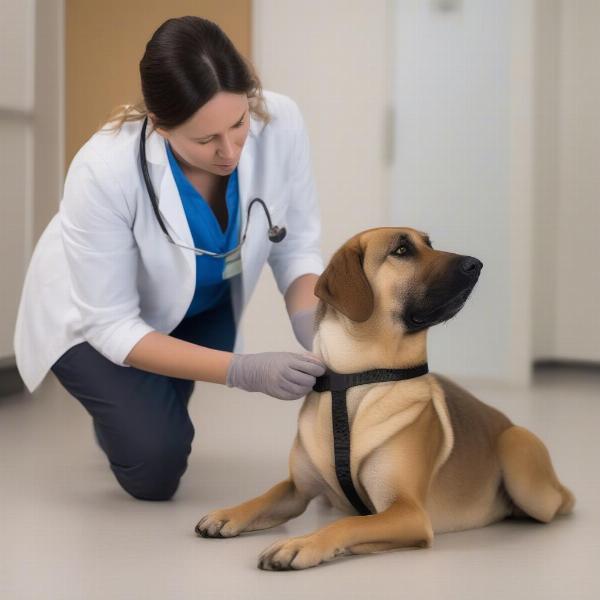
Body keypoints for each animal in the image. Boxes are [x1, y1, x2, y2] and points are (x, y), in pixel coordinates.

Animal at [195, 227, 576, 568]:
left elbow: (349, 524)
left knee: (559, 500)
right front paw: (228, 513)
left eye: (429, 243)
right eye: (401, 250)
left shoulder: (409, 512)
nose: (476, 264)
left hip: (520, 455)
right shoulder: (297, 489)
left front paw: (302, 544)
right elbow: (268, 495)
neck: (355, 379)